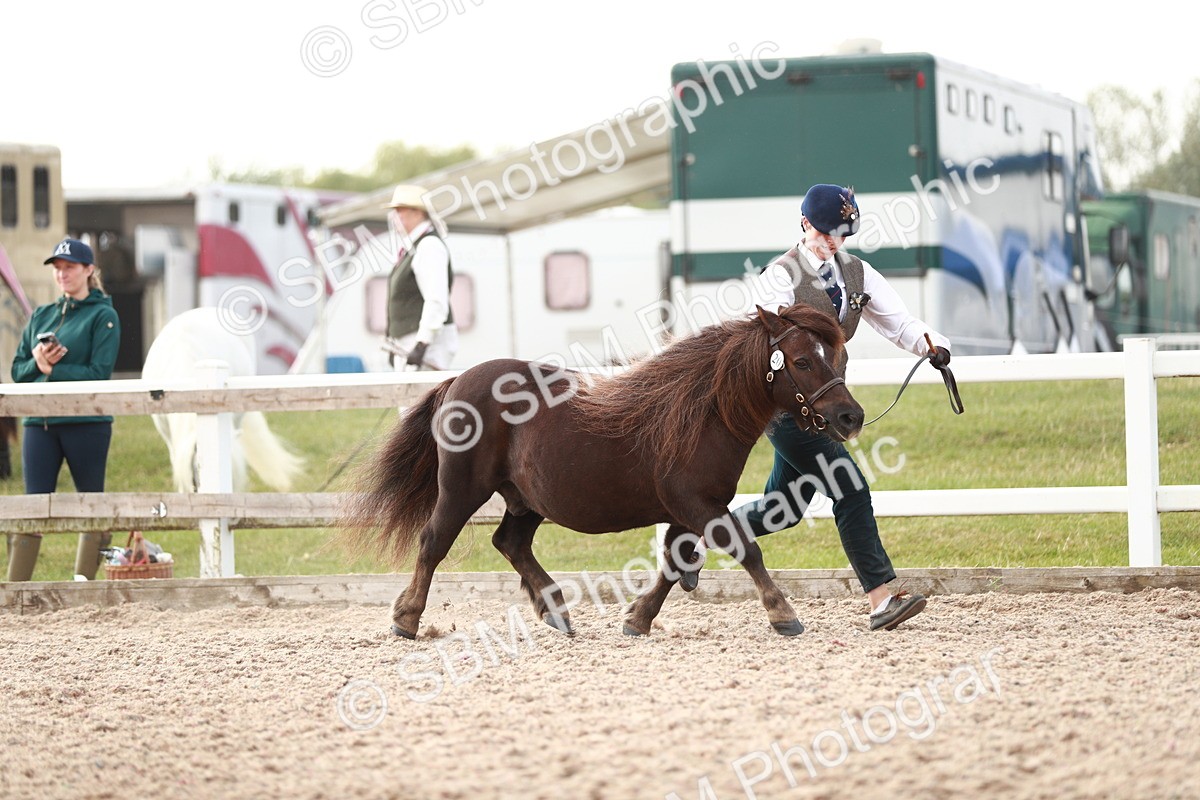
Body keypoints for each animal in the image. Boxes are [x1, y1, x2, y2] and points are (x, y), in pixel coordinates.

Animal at [341, 304, 864, 639]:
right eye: (801, 360)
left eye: (838, 357)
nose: (850, 417)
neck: (702, 412)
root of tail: (457, 381)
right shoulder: (698, 505)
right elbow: (746, 550)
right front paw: (782, 613)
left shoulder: (687, 511)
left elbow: (675, 563)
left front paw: (638, 619)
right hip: (462, 489)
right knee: (434, 543)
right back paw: (407, 619)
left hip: (526, 500)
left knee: (510, 543)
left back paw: (555, 611)